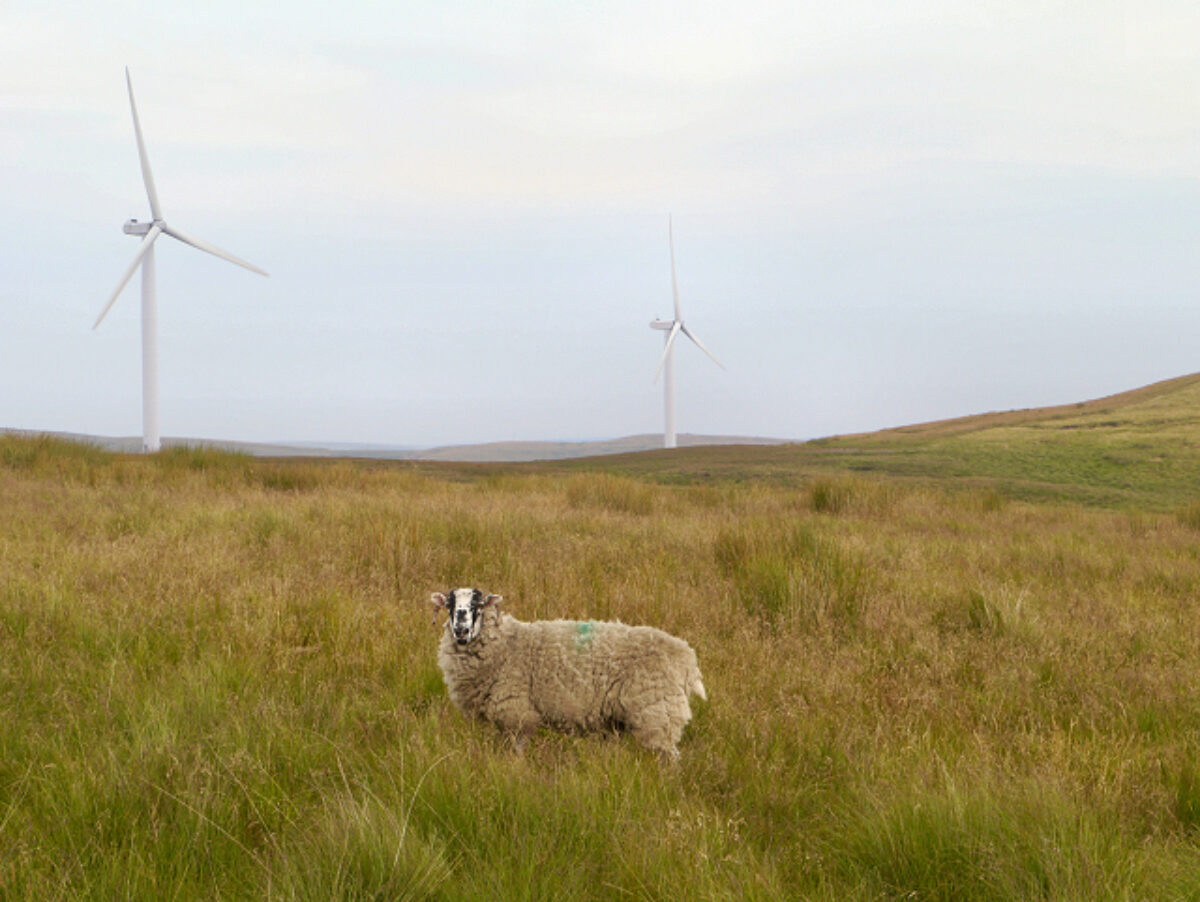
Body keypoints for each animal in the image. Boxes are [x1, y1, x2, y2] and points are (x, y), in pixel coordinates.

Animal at [432, 587, 705, 758]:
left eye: (477, 605)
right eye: (450, 605)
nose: (461, 630)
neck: (507, 643)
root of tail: (686, 657)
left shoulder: (517, 713)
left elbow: (517, 752)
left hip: (658, 712)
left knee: (669, 758)